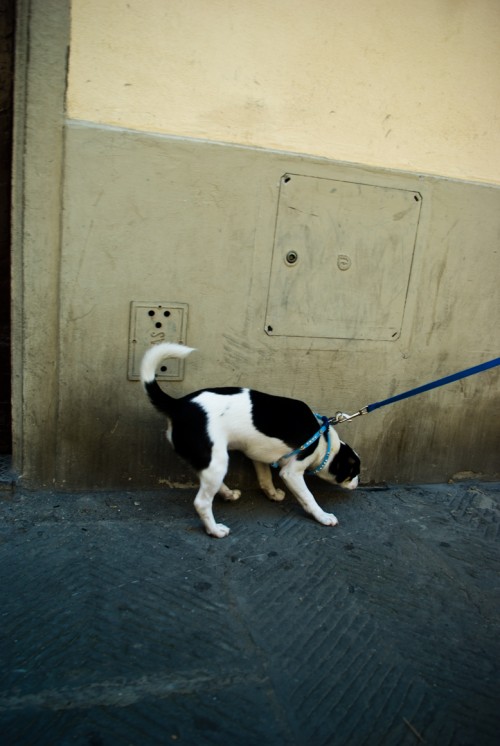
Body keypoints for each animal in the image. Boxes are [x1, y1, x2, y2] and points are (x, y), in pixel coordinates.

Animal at [141, 342, 360, 536]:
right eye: (354, 472)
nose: (357, 484)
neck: (323, 440)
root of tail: (177, 405)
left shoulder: (258, 457)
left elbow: (265, 480)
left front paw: (273, 494)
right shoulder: (292, 473)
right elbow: (309, 497)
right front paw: (323, 516)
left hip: (208, 461)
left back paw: (228, 494)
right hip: (217, 461)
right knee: (202, 502)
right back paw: (215, 530)